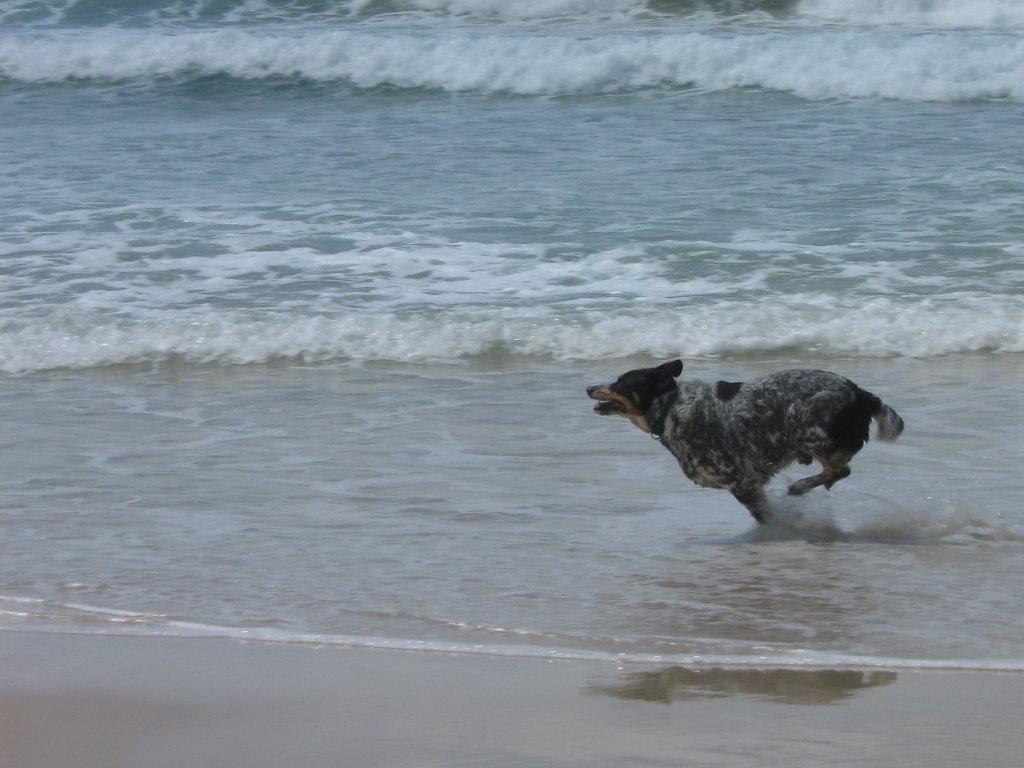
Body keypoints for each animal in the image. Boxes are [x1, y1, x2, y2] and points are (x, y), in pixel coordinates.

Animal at [585, 360, 905, 524]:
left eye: (621, 382)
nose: (588, 387)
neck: (670, 408)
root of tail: (863, 395)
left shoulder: (741, 482)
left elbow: (764, 514)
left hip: (804, 422)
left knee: (840, 469)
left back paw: (801, 486)